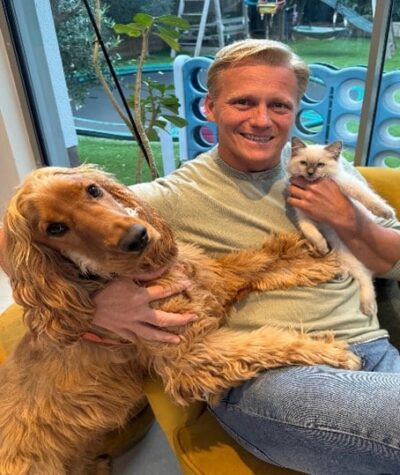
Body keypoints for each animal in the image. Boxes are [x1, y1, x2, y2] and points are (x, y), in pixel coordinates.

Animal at [0, 165, 360, 474]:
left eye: (92, 190)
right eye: (55, 228)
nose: (137, 237)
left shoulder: (215, 279)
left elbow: (257, 260)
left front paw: (317, 260)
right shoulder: (189, 357)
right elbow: (263, 342)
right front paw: (330, 350)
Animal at [287, 136, 396, 316]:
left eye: (320, 165)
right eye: (304, 163)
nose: (310, 173)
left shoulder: (347, 185)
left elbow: (367, 197)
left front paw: (386, 212)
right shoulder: (303, 216)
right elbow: (311, 232)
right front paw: (322, 247)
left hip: (353, 260)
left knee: (365, 279)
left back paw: (368, 306)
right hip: (344, 257)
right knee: (358, 274)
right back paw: (339, 273)